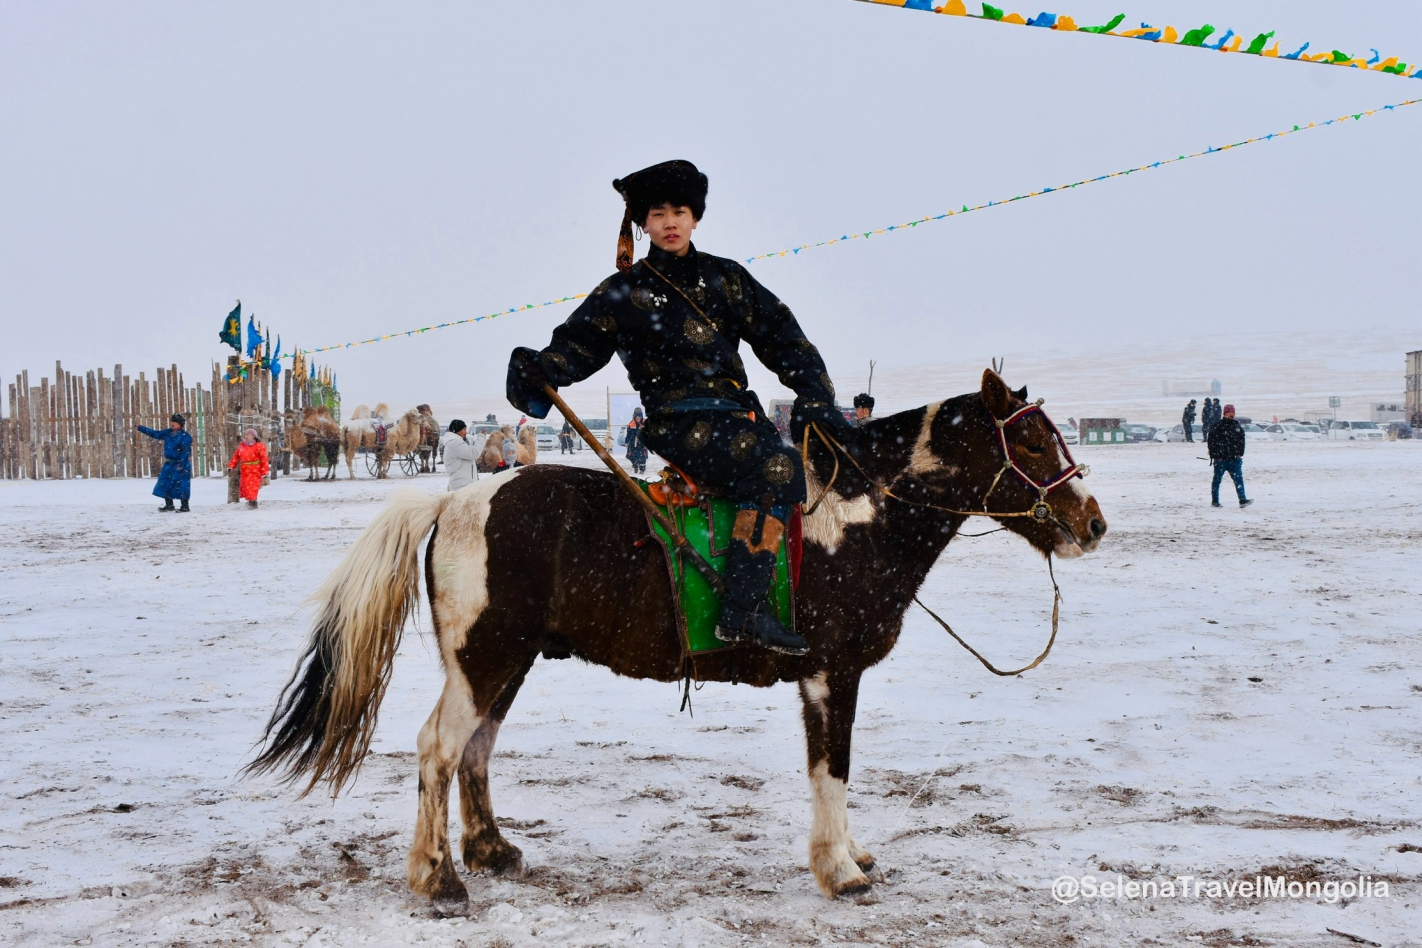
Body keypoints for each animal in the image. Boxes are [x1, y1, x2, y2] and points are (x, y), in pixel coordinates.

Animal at [247, 369, 1109, 909]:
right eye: (1032, 444)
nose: (1092, 523)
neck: (853, 518)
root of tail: (457, 501)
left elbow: (835, 772)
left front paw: (851, 855)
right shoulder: (831, 675)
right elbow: (831, 770)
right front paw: (840, 870)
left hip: (507, 663)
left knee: (474, 751)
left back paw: (490, 851)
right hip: (484, 657)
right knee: (437, 748)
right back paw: (439, 881)